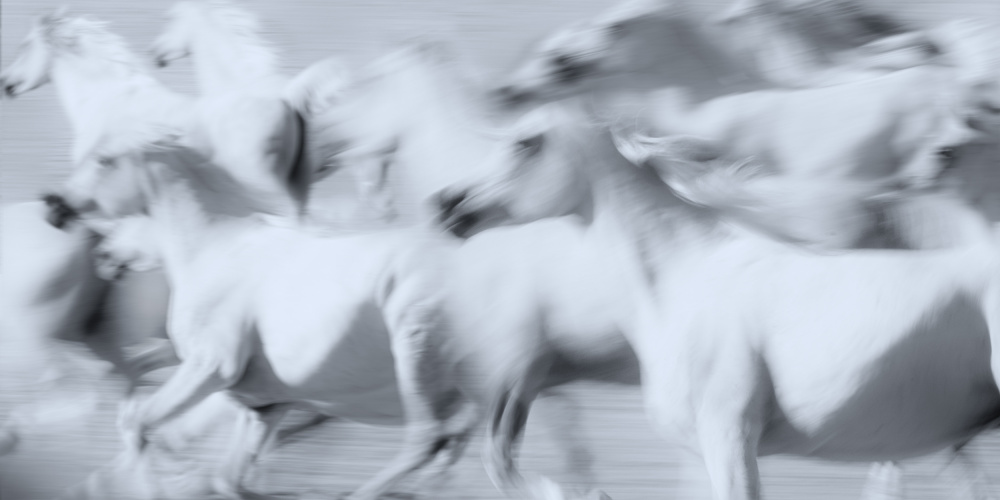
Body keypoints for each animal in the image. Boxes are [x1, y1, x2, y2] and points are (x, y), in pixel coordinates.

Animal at [438, 99, 1000, 498]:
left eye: (525, 143)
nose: (448, 206)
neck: (681, 279)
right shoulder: (699, 450)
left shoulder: (729, 439)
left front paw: (578, 492)